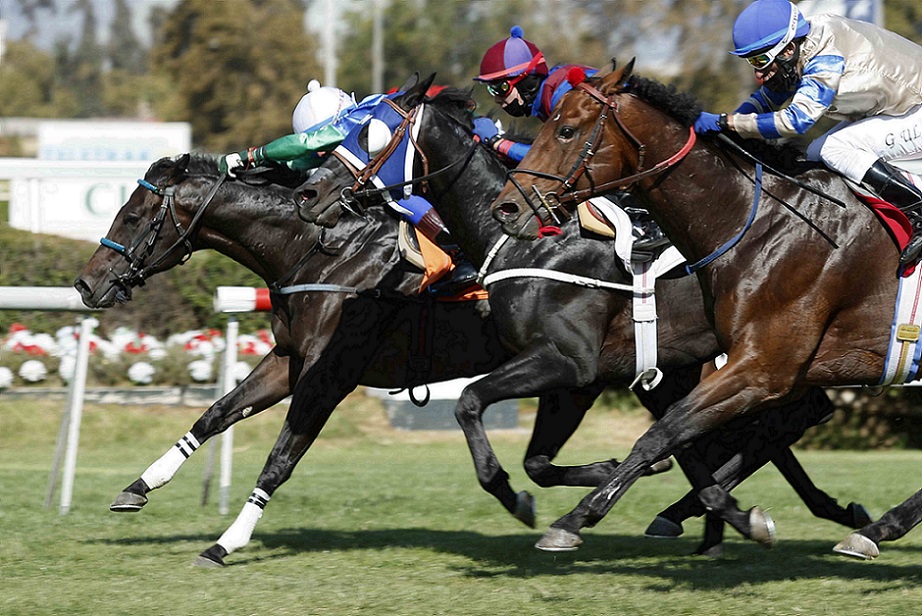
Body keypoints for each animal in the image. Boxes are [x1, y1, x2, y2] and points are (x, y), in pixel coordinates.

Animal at [294, 77, 871, 555]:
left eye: (368, 133)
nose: (308, 193)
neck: (527, 241)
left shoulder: (570, 363)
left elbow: (471, 403)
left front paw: (514, 496)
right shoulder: (582, 379)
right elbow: (543, 462)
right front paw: (614, 476)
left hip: (763, 352)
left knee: (782, 421)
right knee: (771, 425)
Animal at [489, 59, 919, 559]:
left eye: (566, 130)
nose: (508, 207)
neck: (761, 221)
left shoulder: (760, 368)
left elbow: (661, 434)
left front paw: (576, 518)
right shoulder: (760, 370)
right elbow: (682, 439)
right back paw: (871, 528)